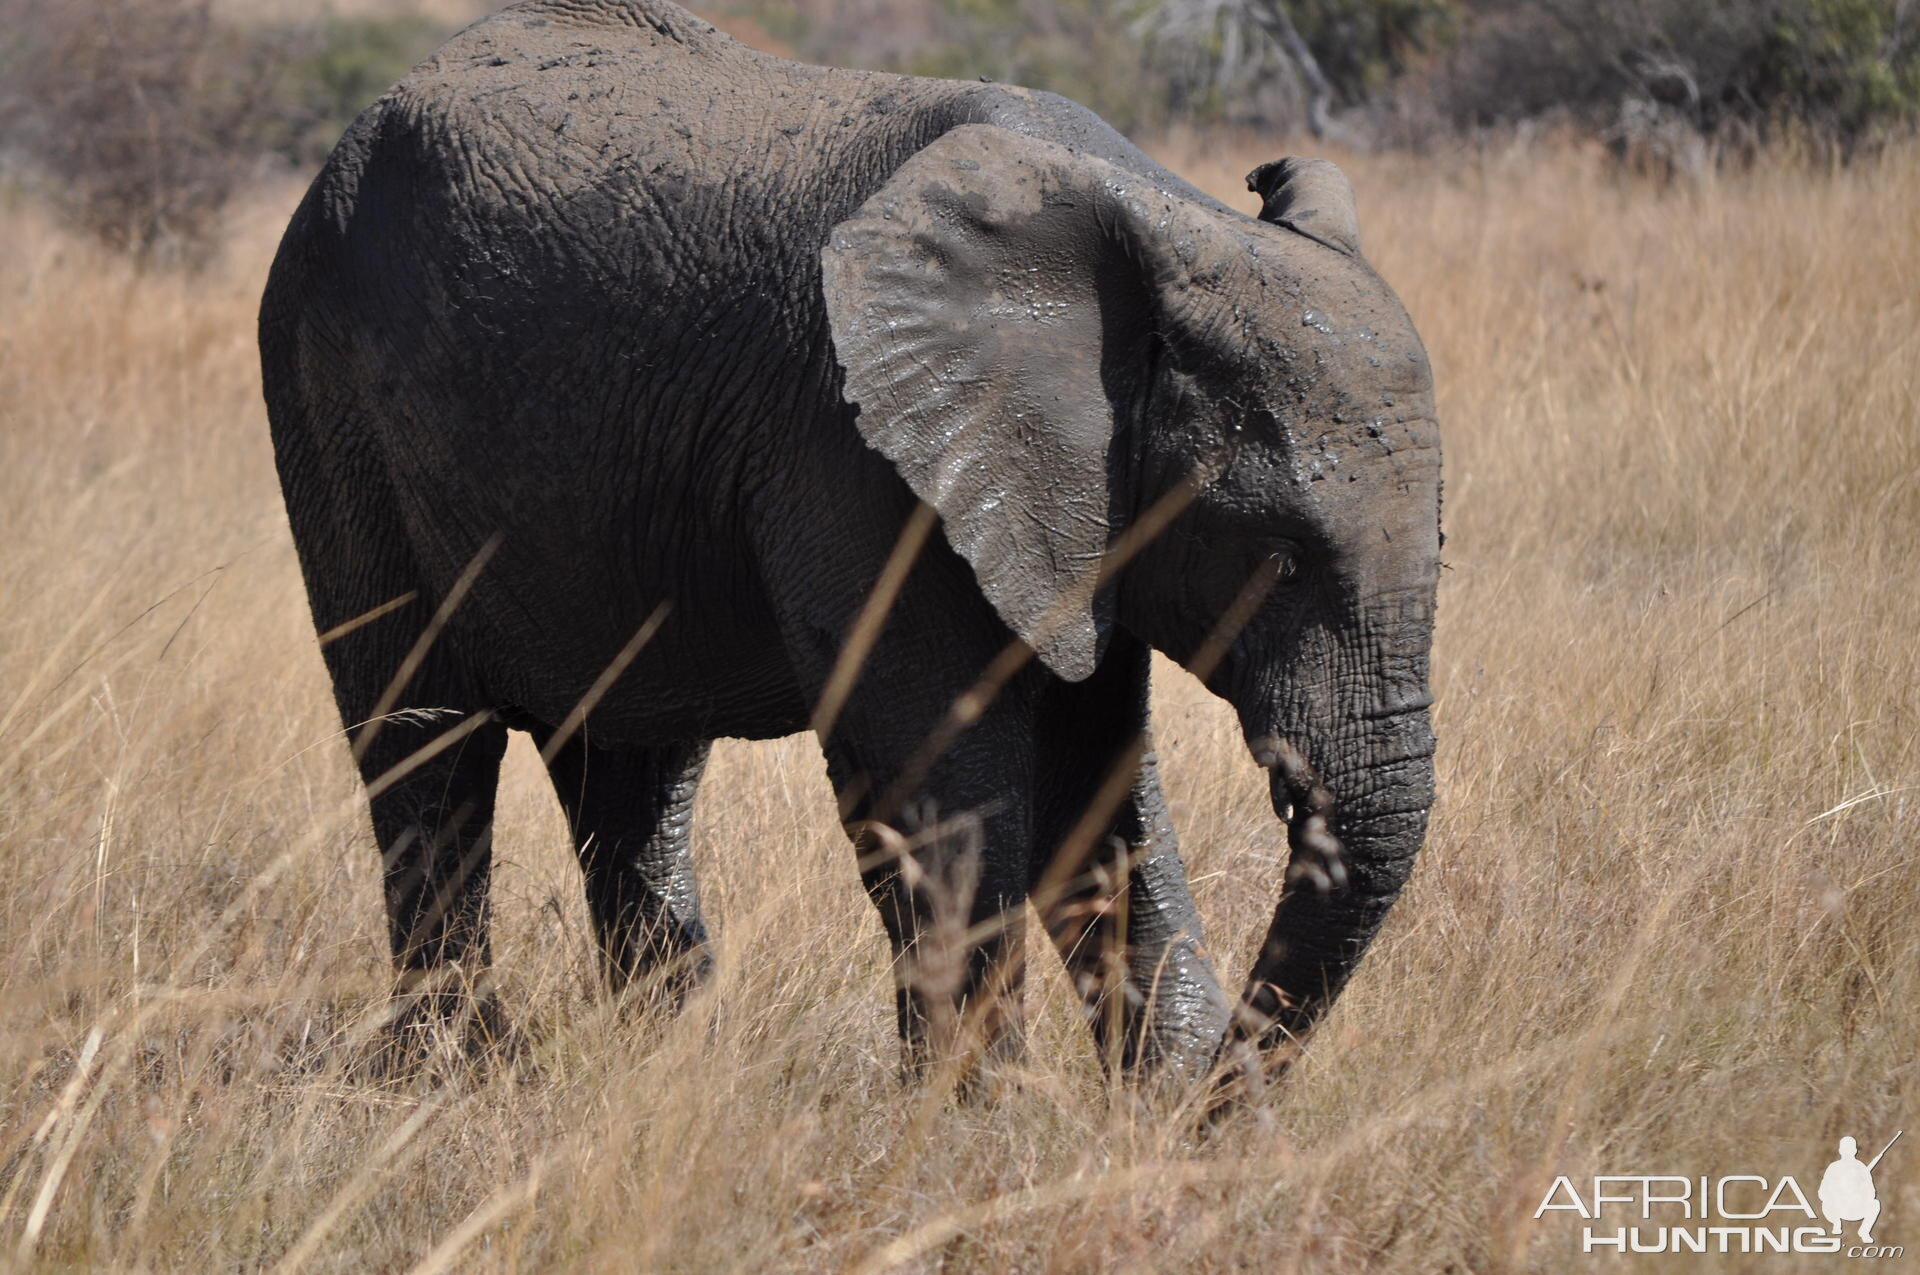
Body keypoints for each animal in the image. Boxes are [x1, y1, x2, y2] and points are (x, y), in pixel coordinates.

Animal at [263, 2, 1443, 1098]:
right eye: (1275, 556)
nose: (1220, 1105)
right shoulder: (856, 455)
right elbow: (938, 787)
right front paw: (972, 1129)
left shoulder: (1076, 511)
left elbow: (1094, 779)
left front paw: (1153, 1110)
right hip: (331, 407)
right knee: (427, 748)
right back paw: (456, 1077)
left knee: (631, 775)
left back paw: (674, 1077)